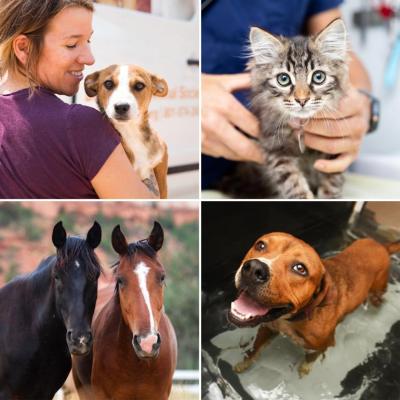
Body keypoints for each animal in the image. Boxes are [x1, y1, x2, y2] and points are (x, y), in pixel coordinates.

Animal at [85, 63, 169, 198]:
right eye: (108, 83)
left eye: (139, 85)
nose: (121, 107)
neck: (131, 131)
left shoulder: (161, 163)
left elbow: (163, 191)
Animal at [227, 233, 396, 376]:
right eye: (260, 245)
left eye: (300, 268)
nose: (254, 268)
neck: (291, 319)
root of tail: (383, 246)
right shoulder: (267, 328)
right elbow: (255, 349)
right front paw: (244, 363)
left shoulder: (321, 346)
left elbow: (310, 359)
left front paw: (304, 369)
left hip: (377, 291)